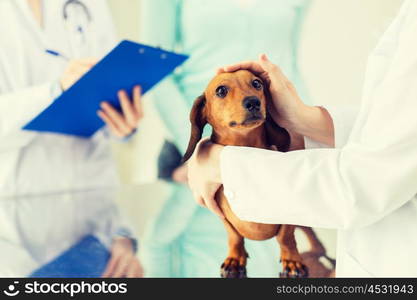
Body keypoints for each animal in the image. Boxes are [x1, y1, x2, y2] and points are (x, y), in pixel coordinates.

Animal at [184, 69, 334, 278]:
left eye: (257, 83)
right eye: (221, 90)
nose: (253, 102)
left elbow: (285, 237)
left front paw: (292, 261)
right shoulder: (219, 211)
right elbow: (234, 236)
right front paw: (235, 259)